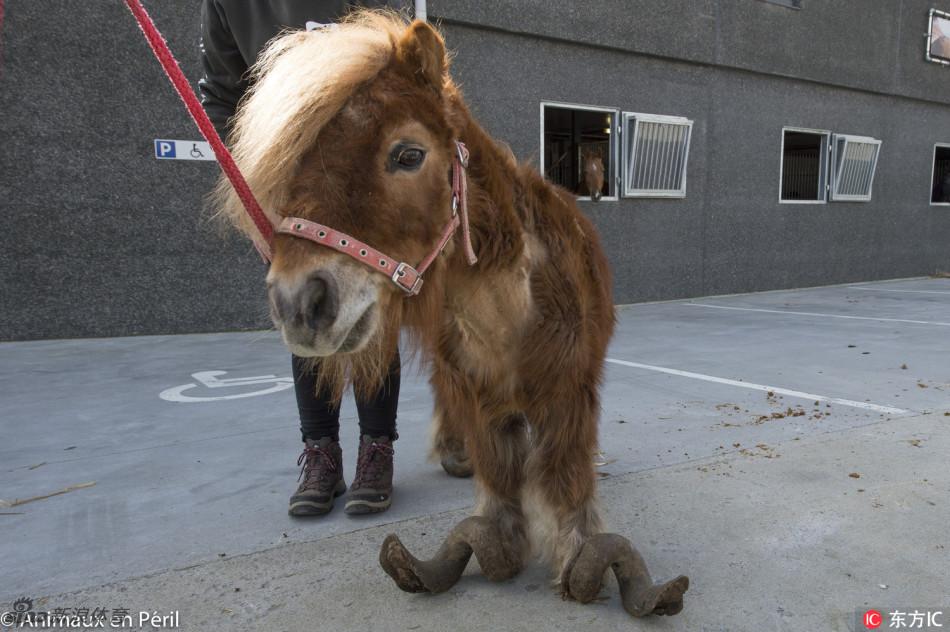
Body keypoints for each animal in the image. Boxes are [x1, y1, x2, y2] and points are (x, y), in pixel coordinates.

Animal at [217, 12, 692, 620]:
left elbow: (566, 478)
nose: (299, 303)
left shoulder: (567, 393)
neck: (511, 312)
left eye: (408, 155)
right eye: (295, 160)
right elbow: (497, 492)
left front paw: (578, 554)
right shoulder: (478, 394)